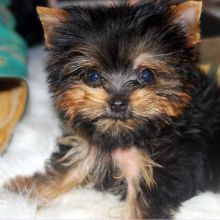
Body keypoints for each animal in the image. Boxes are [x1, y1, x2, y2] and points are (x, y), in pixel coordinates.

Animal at [7, 0, 220, 219]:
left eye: (147, 75)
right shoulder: (87, 148)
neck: (124, 134)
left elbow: (139, 209)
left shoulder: (159, 171)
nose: (118, 102)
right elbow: (64, 172)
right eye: (92, 76)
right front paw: (20, 194)